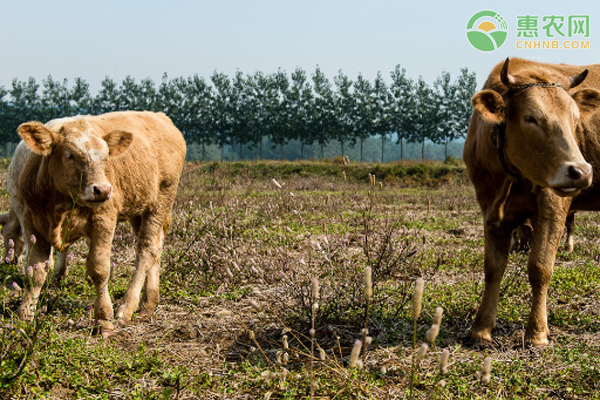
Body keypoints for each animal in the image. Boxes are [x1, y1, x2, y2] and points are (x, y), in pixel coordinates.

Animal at [15, 111, 186, 332]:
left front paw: (104, 318)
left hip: (161, 201)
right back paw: (148, 303)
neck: (61, 205)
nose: (103, 190)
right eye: (70, 155)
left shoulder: (104, 220)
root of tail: (160, 116)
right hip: (140, 209)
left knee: (146, 251)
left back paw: (127, 307)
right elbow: (35, 271)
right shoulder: (31, 222)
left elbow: (99, 268)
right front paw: (25, 315)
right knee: (156, 249)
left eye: (105, 158)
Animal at [464, 57, 600, 346]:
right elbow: (493, 268)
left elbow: (540, 267)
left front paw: (537, 332)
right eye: (530, 118)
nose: (581, 171)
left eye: (575, 120)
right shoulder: (490, 210)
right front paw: (481, 329)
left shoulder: (554, 204)